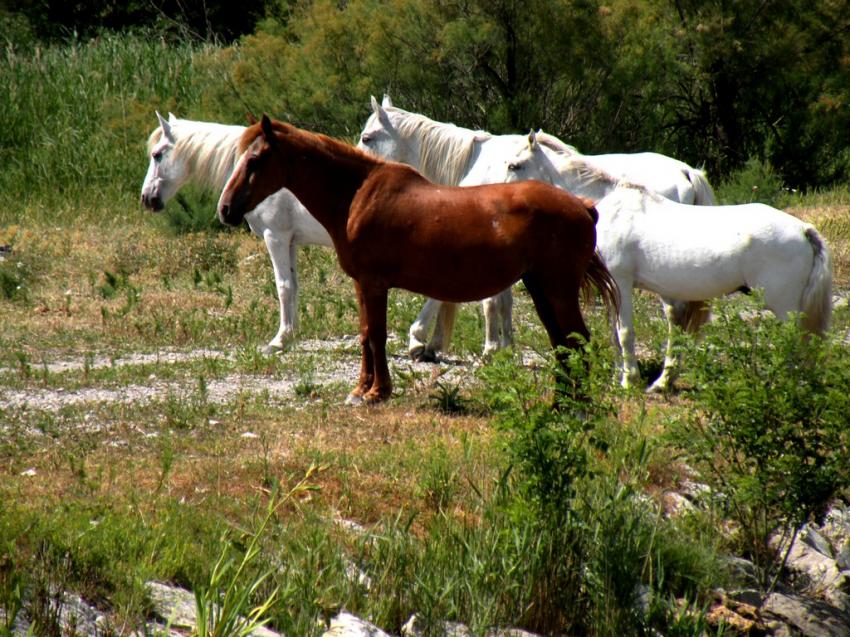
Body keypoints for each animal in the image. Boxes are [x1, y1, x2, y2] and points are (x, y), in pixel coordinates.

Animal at [140, 111, 332, 354]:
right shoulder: (290, 242)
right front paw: (291, 334)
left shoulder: (275, 237)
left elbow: (283, 286)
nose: (147, 198)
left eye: (156, 155)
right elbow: (294, 285)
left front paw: (279, 340)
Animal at [217, 115, 620, 405]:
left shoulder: (374, 283)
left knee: (577, 342)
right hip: (541, 290)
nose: (225, 209)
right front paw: (362, 389)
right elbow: (365, 334)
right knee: (563, 344)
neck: (357, 195)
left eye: (255, 160)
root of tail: (583, 206)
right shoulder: (362, 284)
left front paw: (377, 392)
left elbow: (376, 335)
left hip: (558, 291)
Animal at [357, 95, 715, 362]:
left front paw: (426, 340)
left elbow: (477, 298)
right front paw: (503, 346)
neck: (475, 160)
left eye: (367, 137)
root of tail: (687, 172)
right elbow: (501, 301)